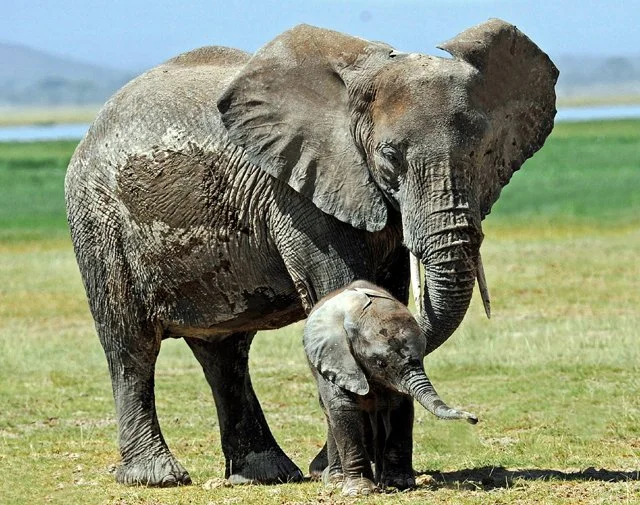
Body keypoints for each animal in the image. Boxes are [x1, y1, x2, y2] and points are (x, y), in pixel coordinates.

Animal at [304, 280, 477, 495]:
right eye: (380, 363)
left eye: (422, 355)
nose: (473, 418)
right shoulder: (336, 358)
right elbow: (343, 409)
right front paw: (361, 491)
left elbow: (400, 408)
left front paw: (398, 484)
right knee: (333, 415)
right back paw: (336, 482)